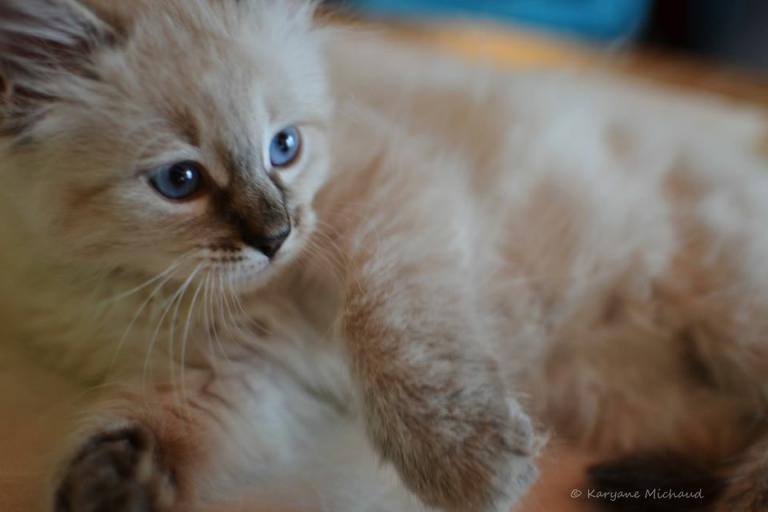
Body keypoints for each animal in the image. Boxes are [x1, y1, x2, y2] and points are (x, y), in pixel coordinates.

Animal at [0, 1, 764, 512]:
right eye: (181, 181)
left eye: (285, 147)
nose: (275, 236)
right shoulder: (243, 376)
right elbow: (159, 431)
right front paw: (111, 486)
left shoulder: (390, 206)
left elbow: (397, 334)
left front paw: (467, 467)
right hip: (651, 404)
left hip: (729, 315)